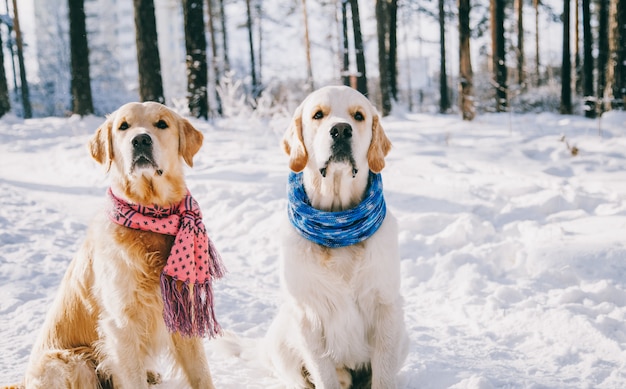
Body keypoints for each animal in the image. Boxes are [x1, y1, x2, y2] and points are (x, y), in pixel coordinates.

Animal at [264, 86, 408, 388]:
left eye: (359, 116)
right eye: (318, 114)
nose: (341, 130)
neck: (338, 222)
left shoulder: (386, 308)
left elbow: (383, 376)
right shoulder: (307, 315)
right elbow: (324, 374)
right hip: (281, 344)